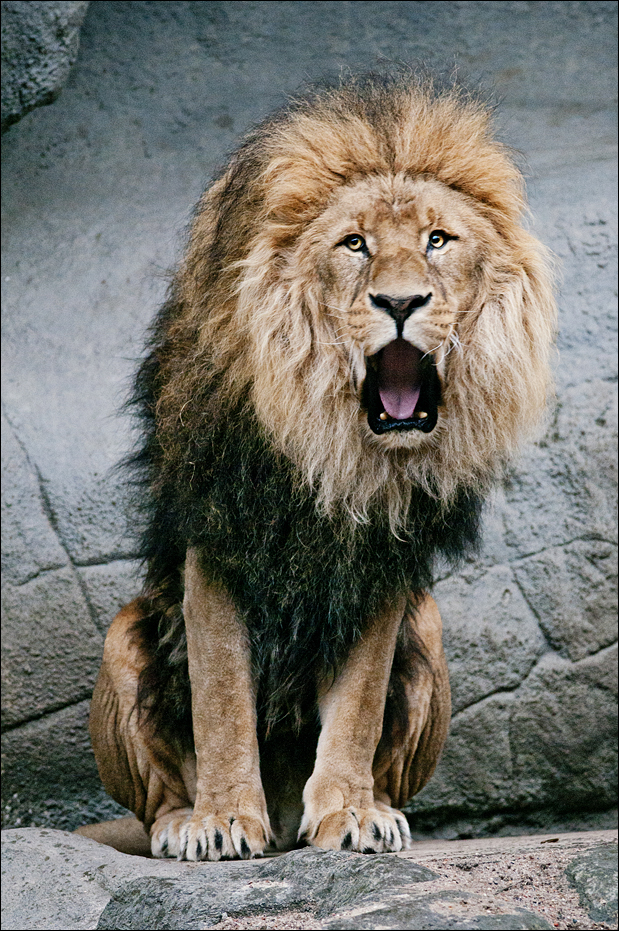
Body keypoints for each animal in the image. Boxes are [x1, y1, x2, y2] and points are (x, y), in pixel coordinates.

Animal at [89, 71, 556, 860]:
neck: (336, 451)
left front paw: (349, 811)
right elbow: (221, 697)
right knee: (155, 801)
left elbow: (360, 701)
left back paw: (379, 807)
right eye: (354, 244)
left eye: (437, 240)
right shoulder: (218, 530)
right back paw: (186, 822)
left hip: (428, 628)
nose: (400, 302)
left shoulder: (378, 553)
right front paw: (223, 818)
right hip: (123, 636)